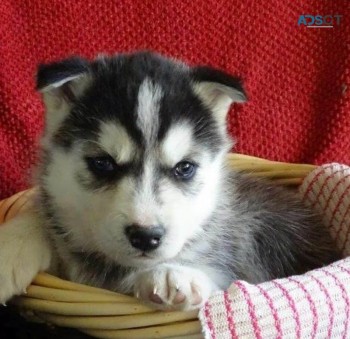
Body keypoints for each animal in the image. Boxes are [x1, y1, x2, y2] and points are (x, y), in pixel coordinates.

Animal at [0, 51, 340, 310]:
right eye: (103, 163)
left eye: (184, 168)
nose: (145, 236)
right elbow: (42, 220)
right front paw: (11, 246)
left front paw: (173, 274)